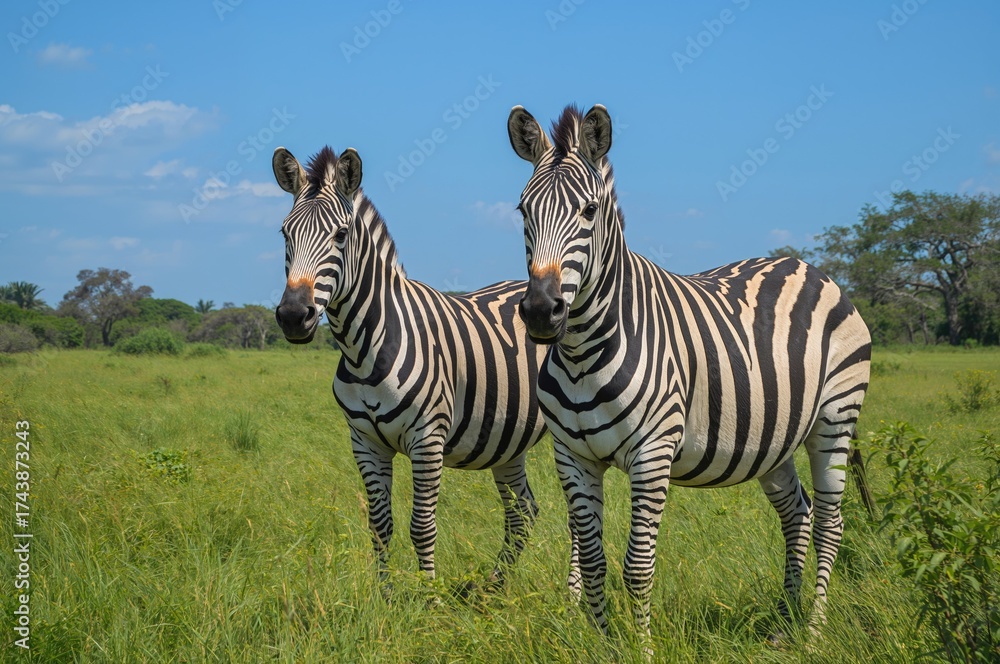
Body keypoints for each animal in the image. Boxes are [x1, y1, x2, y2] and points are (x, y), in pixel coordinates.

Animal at [271, 145, 550, 588]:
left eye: (341, 235)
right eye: (285, 233)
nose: (294, 317)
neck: (364, 350)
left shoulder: (428, 438)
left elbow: (422, 526)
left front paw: (429, 596)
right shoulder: (364, 442)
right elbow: (379, 526)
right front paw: (385, 598)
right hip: (509, 441)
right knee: (523, 511)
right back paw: (495, 589)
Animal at [506, 105, 872, 642]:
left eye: (590, 212)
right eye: (522, 211)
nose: (538, 312)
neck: (581, 352)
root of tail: (806, 268)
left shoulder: (652, 452)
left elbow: (637, 566)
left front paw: (641, 647)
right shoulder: (571, 456)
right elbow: (592, 560)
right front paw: (602, 640)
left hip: (835, 418)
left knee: (830, 522)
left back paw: (813, 631)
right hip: (774, 440)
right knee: (797, 514)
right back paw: (784, 621)